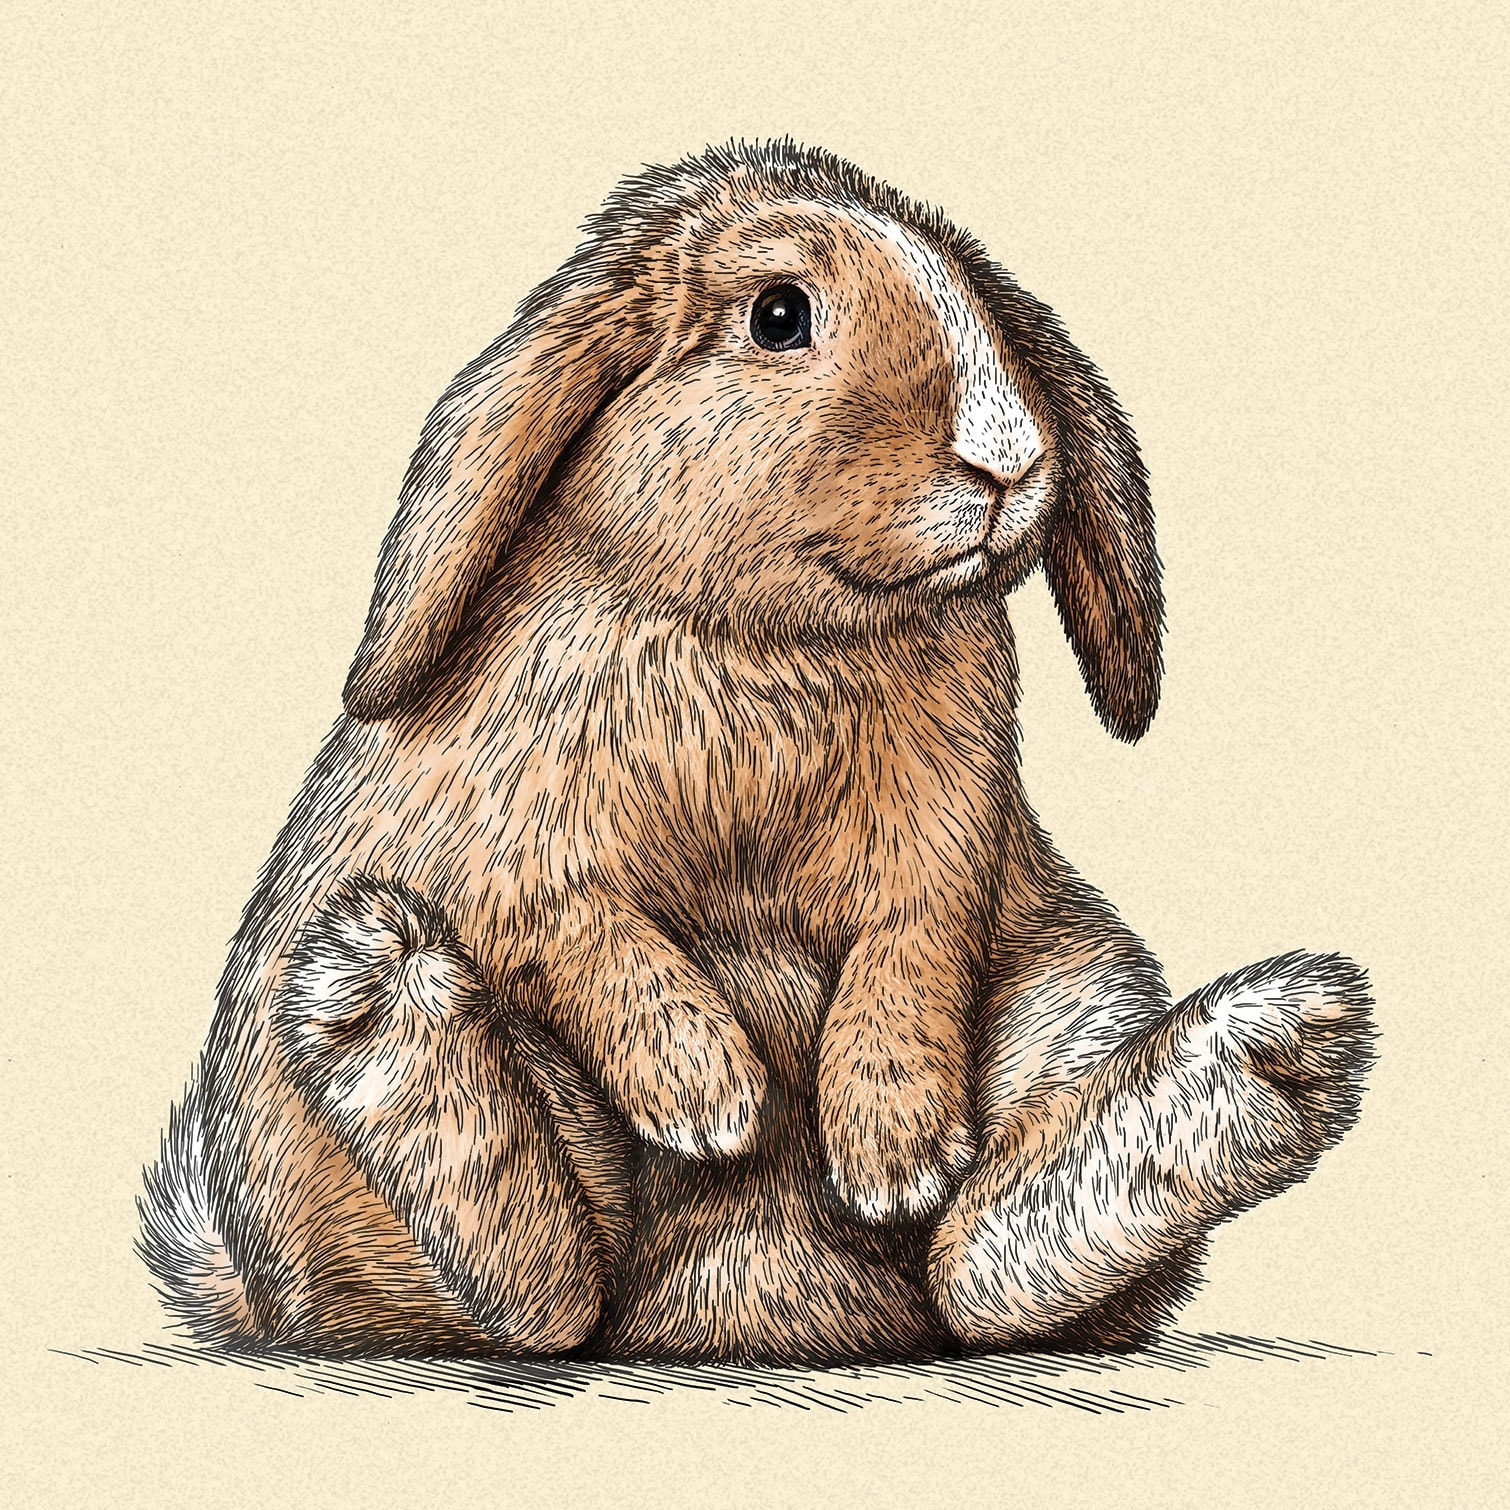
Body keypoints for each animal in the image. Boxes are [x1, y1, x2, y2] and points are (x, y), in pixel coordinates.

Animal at [140, 139, 1375, 1365]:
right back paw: (376, 1003)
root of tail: (723, 1319)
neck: (772, 645)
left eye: (978, 304)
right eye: (779, 316)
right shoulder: (505, 832)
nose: (1009, 458)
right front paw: (711, 1095)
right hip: (313, 1136)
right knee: (520, 1298)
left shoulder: (945, 825)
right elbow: (580, 924)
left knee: (985, 1269)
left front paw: (892, 1154)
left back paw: (1277, 1052)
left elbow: (913, 939)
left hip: (1074, 991)